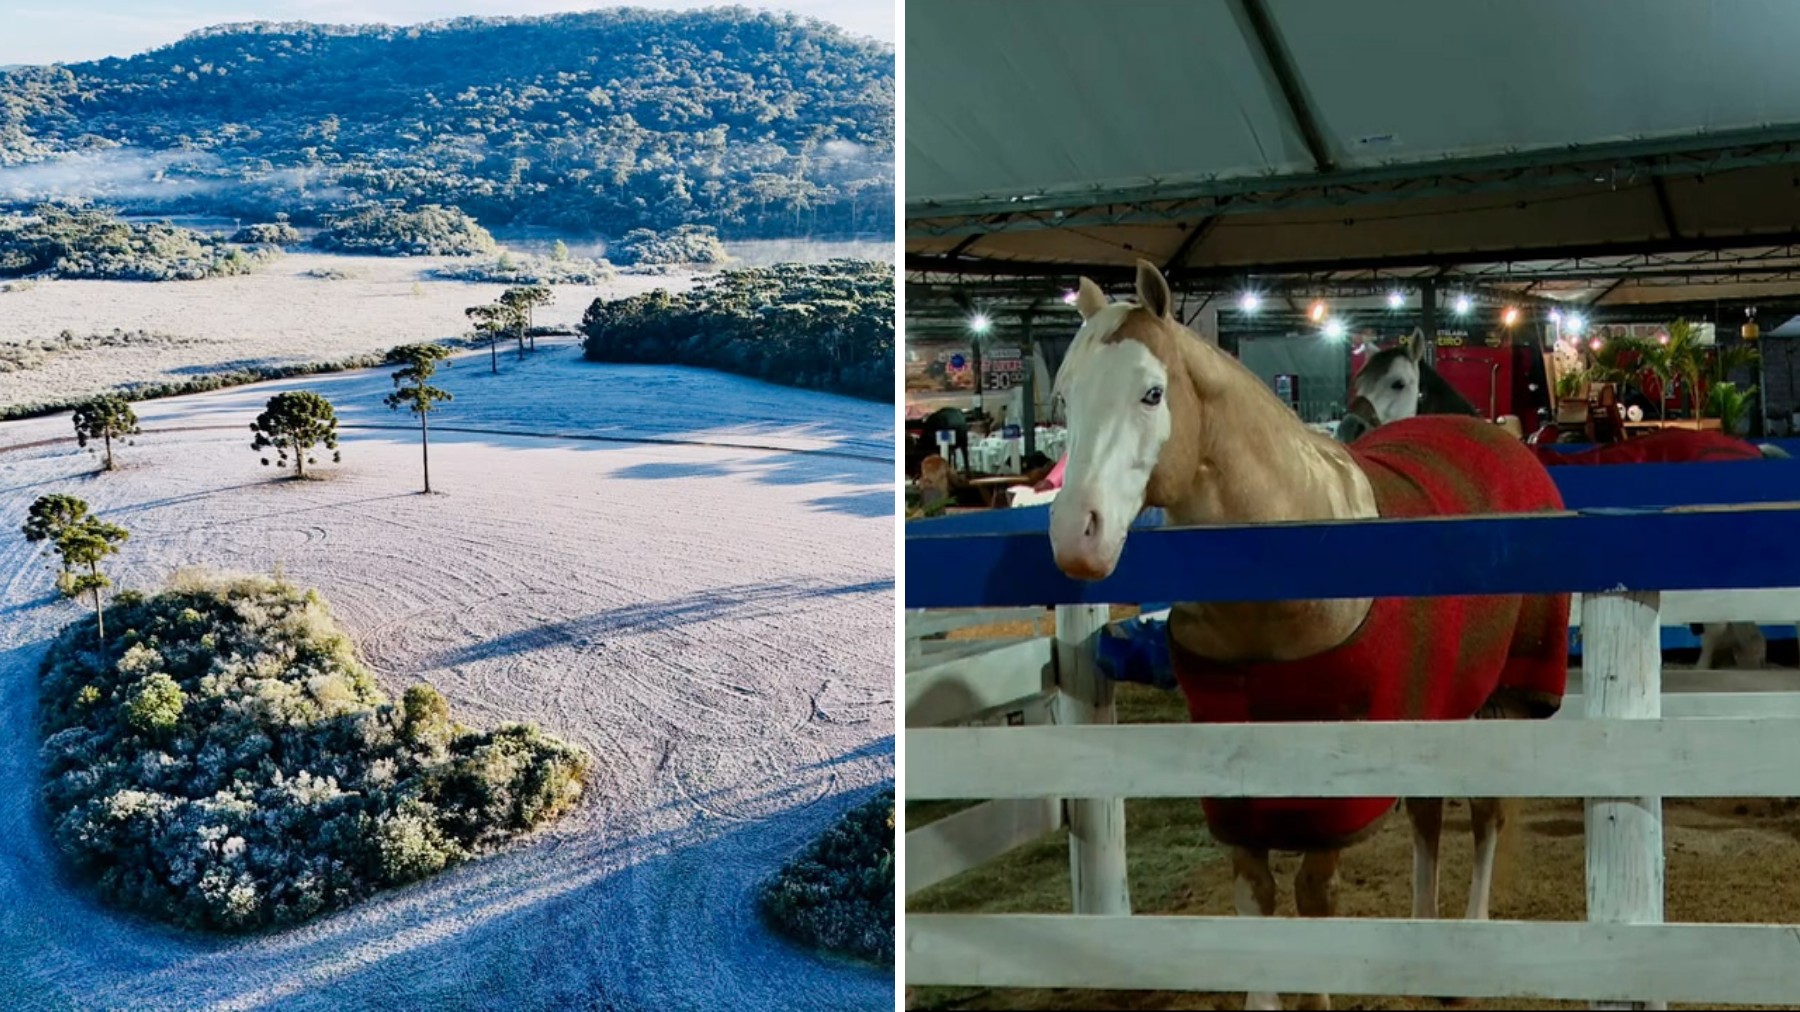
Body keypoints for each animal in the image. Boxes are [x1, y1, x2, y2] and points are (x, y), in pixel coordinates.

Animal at [1048, 260, 1570, 1012]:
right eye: (1064, 398)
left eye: (1152, 393)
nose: (1075, 534)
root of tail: (1499, 434)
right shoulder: (1235, 782)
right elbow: (1258, 897)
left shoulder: (1337, 783)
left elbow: (1313, 898)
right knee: (1427, 816)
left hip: (1505, 697)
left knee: (1484, 815)